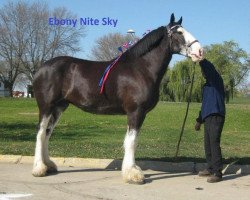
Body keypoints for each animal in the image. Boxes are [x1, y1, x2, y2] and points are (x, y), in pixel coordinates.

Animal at [31, 14, 203, 184]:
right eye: (179, 32)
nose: (200, 51)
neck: (141, 69)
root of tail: (40, 68)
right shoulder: (136, 111)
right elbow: (132, 141)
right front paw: (133, 174)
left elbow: (130, 140)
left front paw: (131, 170)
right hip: (46, 106)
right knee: (41, 133)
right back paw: (39, 168)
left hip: (59, 107)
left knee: (47, 133)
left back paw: (49, 165)